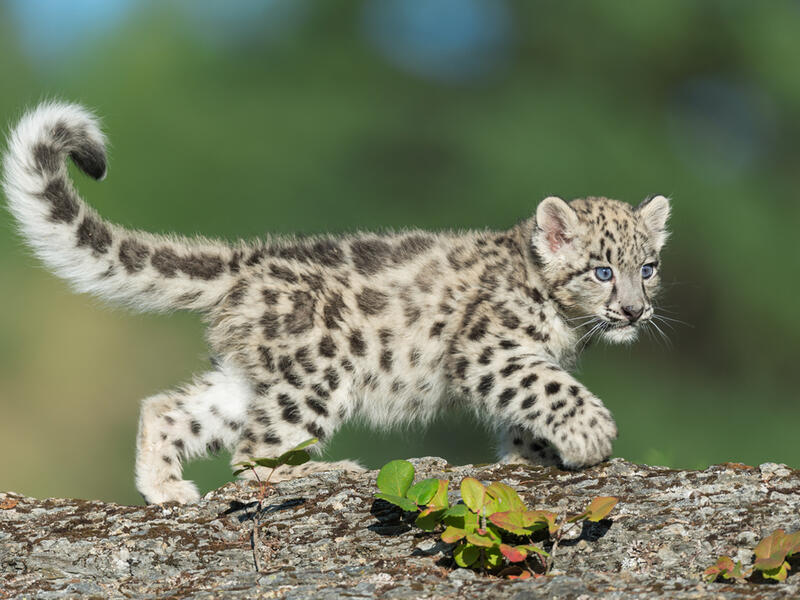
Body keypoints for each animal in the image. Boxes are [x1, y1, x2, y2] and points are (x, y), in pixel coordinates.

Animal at [3, 102, 671, 503]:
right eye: (603, 271)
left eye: (648, 268)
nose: (635, 311)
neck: (564, 323)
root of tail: (247, 260)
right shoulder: (491, 350)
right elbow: (549, 388)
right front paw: (591, 435)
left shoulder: (517, 359)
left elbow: (527, 411)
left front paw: (532, 457)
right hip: (317, 375)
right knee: (255, 454)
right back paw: (328, 471)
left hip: (254, 378)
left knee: (171, 410)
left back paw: (166, 490)